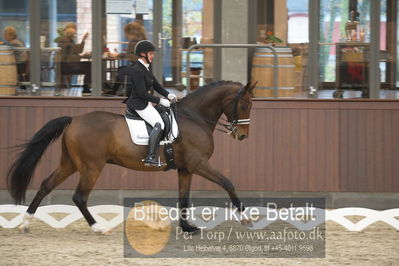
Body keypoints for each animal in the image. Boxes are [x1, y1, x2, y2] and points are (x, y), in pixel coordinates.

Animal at [7, 80, 256, 234]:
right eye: (245, 105)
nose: (242, 135)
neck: (195, 117)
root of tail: (74, 120)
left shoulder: (186, 169)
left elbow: (184, 197)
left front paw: (187, 227)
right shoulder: (199, 164)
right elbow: (228, 183)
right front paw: (245, 216)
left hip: (70, 164)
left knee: (46, 185)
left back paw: (25, 223)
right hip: (91, 167)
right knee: (79, 197)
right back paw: (99, 228)